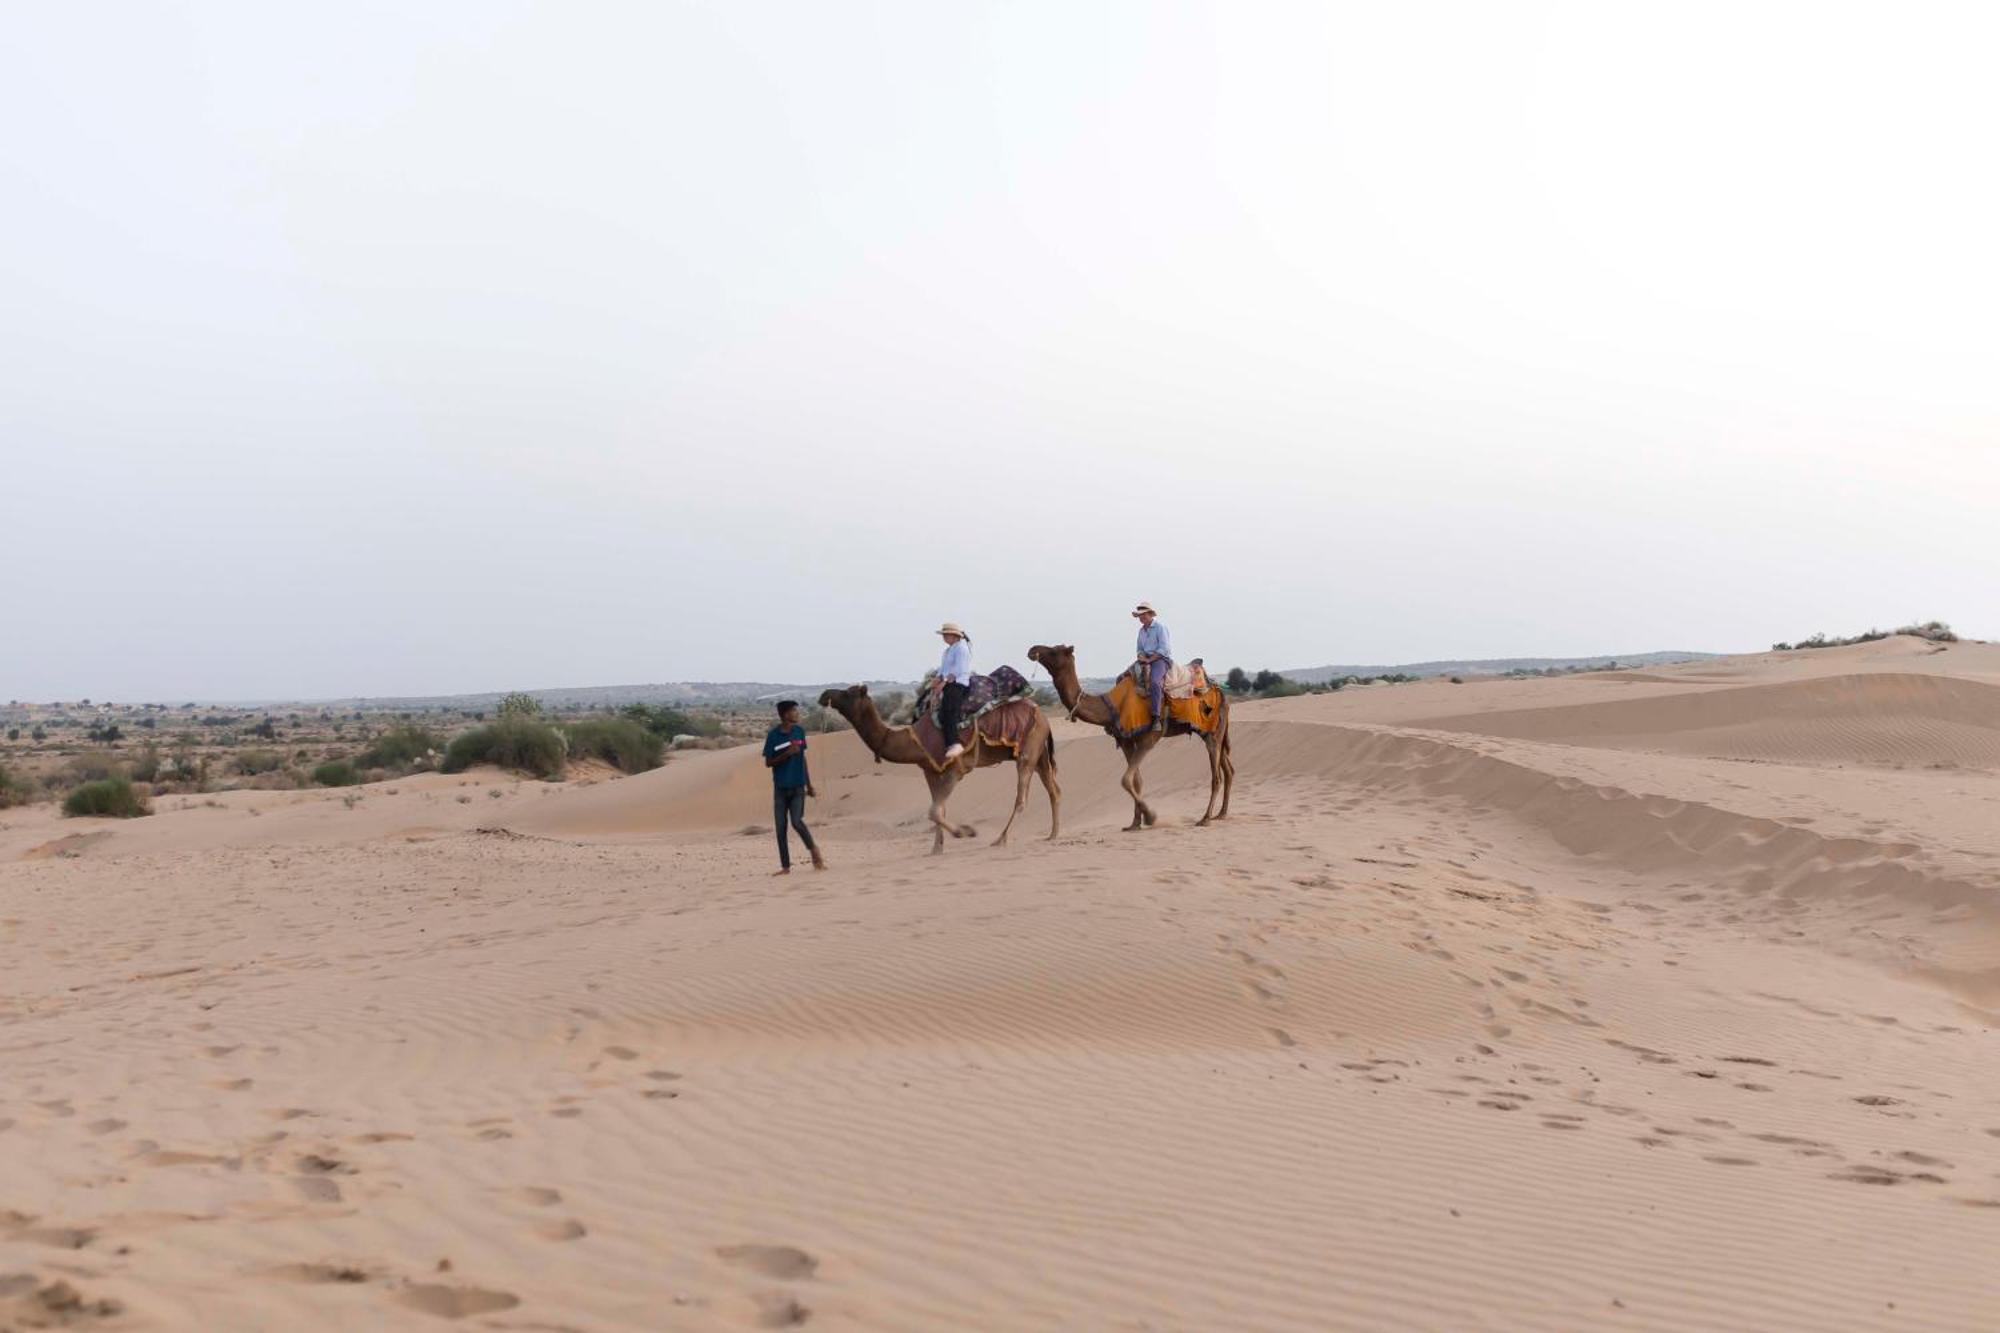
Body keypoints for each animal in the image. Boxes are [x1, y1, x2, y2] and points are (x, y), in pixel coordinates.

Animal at [816, 680, 1064, 856]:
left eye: (848, 693)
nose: (824, 694)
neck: (912, 740)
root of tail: (1043, 716)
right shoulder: (931, 770)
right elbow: (938, 809)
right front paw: (936, 849)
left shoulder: (957, 769)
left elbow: (934, 811)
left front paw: (966, 831)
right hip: (1039, 754)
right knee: (1054, 790)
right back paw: (1053, 835)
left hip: (1027, 752)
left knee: (1022, 798)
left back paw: (1000, 839)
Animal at [1032, 640, 1232, 824]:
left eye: (1054, 651)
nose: (1032, 649)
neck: (1112, 705)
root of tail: (1220, 691)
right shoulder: (1126, 741)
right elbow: (1136, 781)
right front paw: (1135, 823)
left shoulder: (1150, 737)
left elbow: (1126, 780)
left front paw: (1150, 817)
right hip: (1214, 732)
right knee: (1228, 769)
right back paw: (1221, 814)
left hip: (1212, 731)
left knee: (1216, 776)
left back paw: (1205, 818)